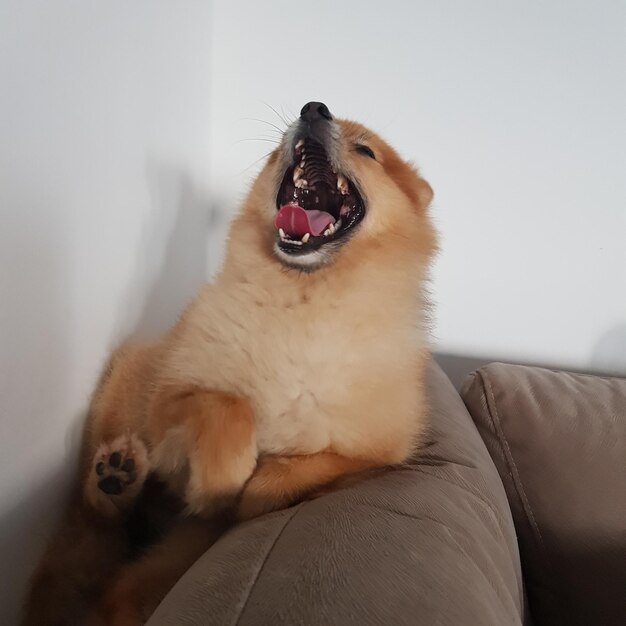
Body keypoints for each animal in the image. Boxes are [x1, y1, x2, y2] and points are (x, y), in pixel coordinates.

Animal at [23, 100, 434, 620]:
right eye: (275, 149)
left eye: (366, 150)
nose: (313, 108)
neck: (302, 302)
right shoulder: (168, 401)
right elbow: (229, 408)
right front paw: (217, 481)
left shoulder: (380, 451)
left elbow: (322, 462)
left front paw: (255, 492)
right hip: (124, 397)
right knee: (96, 525)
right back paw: (114, 479)